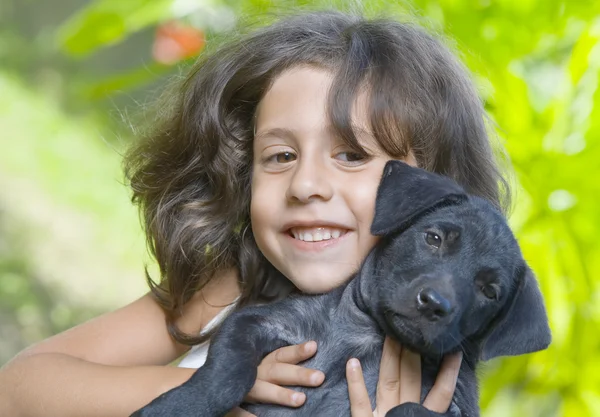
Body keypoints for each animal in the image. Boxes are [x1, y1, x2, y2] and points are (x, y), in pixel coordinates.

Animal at [132, 160, 552, 416]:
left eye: (490, 292)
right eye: (433, 238)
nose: (435, 303)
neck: (369, 336)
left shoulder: (453, 405)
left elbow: (407, 408)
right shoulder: (262, 321)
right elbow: (227, 376)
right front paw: (173, 408)